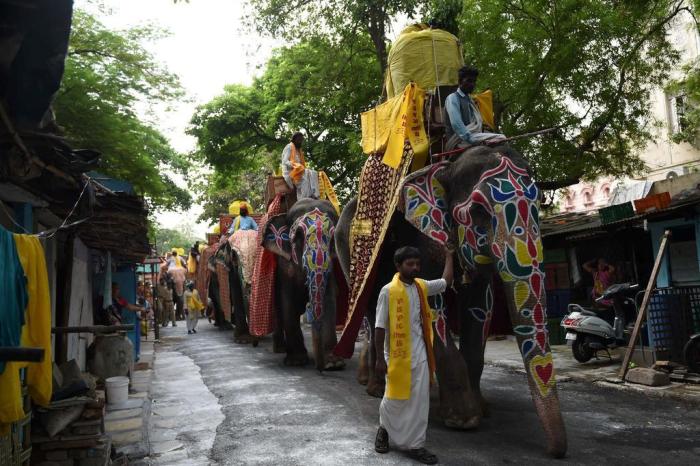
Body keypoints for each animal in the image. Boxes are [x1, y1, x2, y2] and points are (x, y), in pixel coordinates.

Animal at [262, 198, 346, 372]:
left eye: (333, 239)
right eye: (298, 236)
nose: (320, 369)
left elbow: (329, 300)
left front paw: (333, 364)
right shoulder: (284, 267)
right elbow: (287, 302)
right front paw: (296, 361)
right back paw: (280, 349)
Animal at [330, 146, 568, 458]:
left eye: (539, 201)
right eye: (478, 211)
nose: (556, 452)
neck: (446, 166)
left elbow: (480, 305)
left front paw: (481, 409)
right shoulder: (422, 240)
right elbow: (432, 307)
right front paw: (463, 420)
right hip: (349, 255)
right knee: (372, 312)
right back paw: (376, 388)